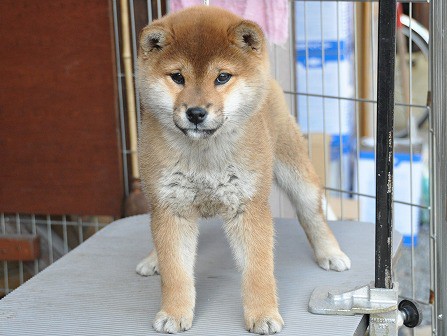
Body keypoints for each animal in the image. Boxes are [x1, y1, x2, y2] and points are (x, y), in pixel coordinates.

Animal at [136, 5, 354, 334]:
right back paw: (153, 259)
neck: (204, 155)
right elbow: (176, 271)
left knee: (312, 213)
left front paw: (263, 313)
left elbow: (258, 271)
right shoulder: (170, 207)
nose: (196, 113)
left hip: (295, 172)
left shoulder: (248, 206)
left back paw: (329, 252)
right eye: (177, 77)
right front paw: (174, 311)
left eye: (222, 77)